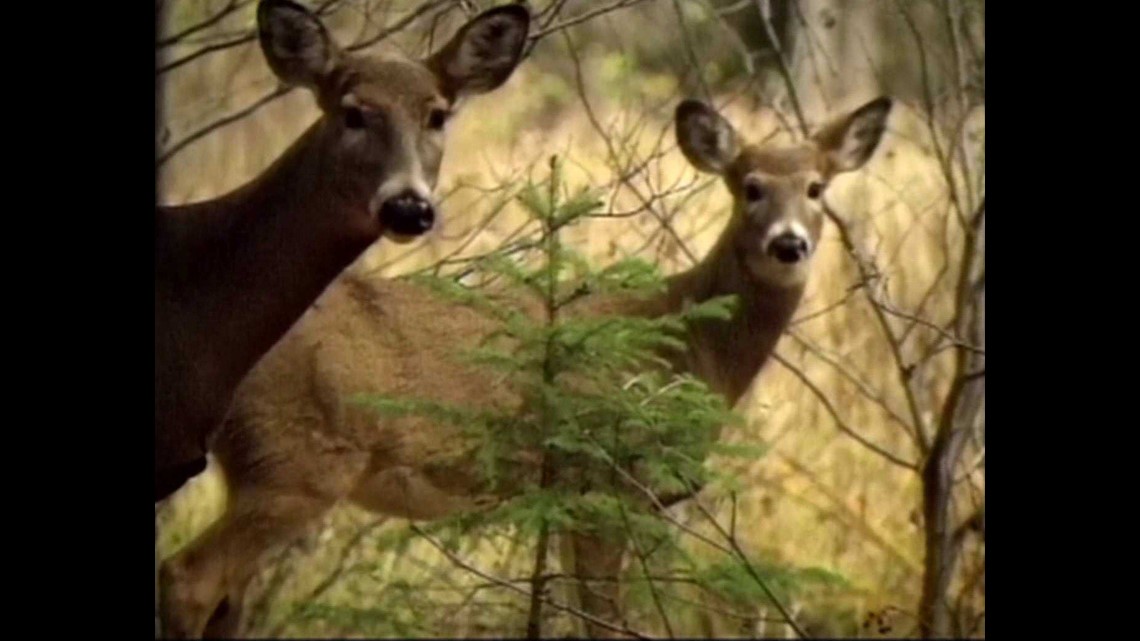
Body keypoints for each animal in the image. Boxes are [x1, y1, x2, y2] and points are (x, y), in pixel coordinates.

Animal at [157, 95, 893, 638]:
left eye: (817, 188)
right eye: (750, 187)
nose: (789, 244)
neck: (687, 347)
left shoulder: (573, 492)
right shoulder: (603, 476)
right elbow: (601, 615)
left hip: (257, 463)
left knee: (225, 599)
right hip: (299, 459)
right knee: (187, 579)